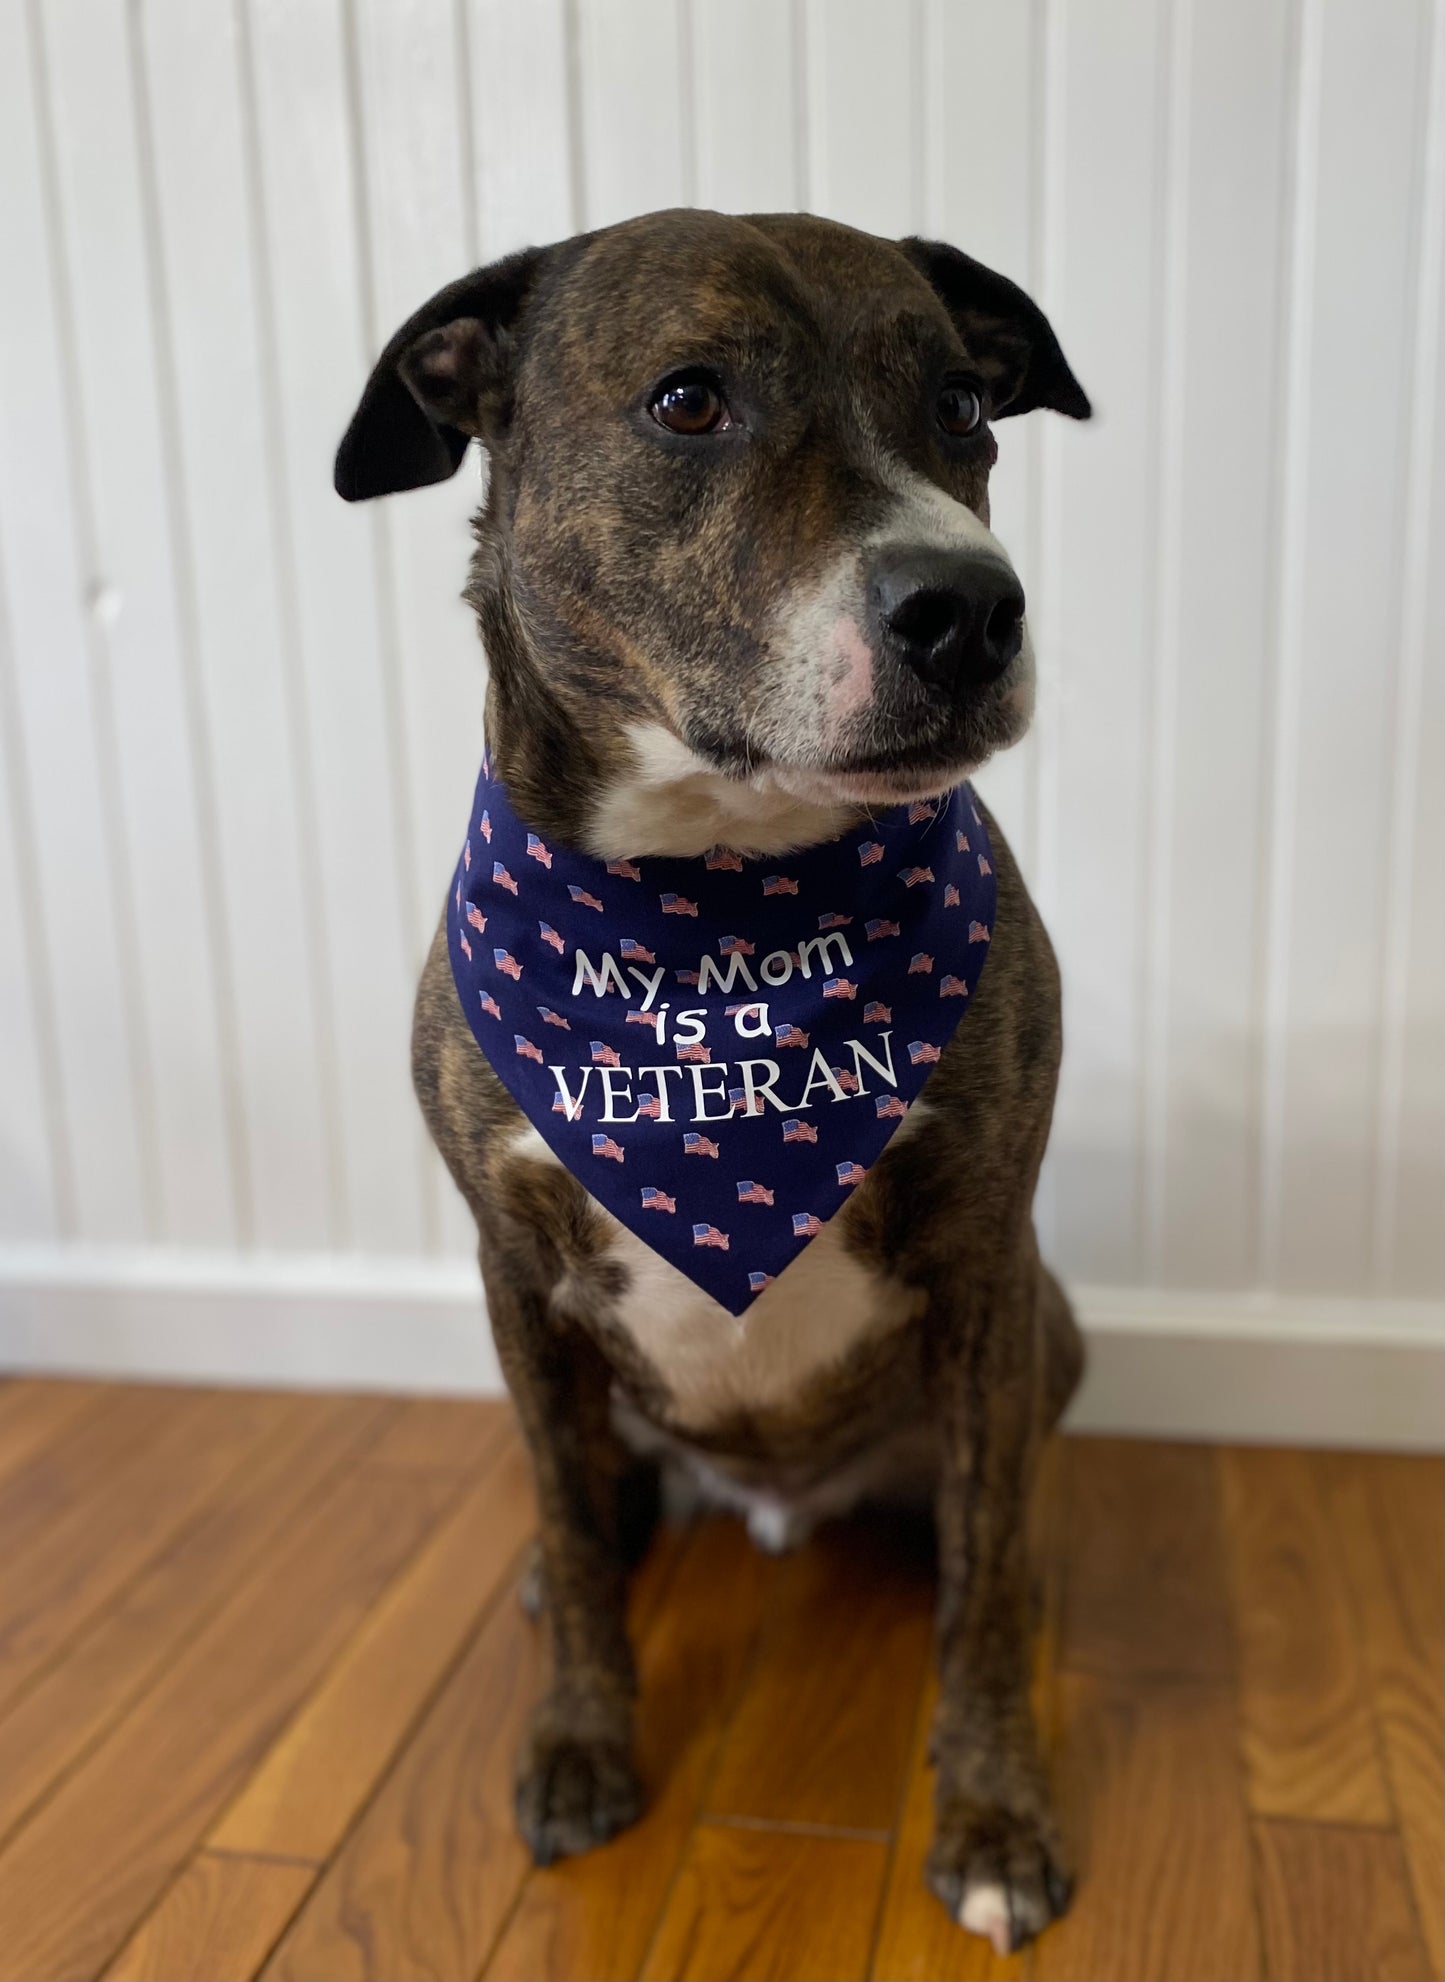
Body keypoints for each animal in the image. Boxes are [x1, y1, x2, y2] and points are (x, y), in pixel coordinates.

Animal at [334, 205, 1078, 1950]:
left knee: (996, 1528)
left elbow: (983, 1589)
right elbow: (565, 1518)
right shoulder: (517, 1281)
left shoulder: (987, 1271)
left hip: (1051, 1331)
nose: (969, 607)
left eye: (962, 403)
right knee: (594, 1506)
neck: (713, 921)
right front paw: (580, 1734)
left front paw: (995, 1815)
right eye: (688, 400)